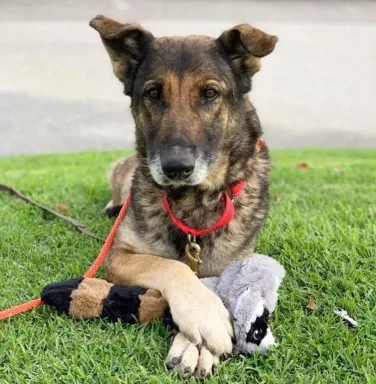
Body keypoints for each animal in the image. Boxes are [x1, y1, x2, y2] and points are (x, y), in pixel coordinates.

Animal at [88, 15, 276, 378]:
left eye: (210, 93)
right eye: (153, 93)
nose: (176, 168)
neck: (192, 201)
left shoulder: (230, 266)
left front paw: (195, 347)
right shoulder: (119, 256)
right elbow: (172, 267)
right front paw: (205, 316)